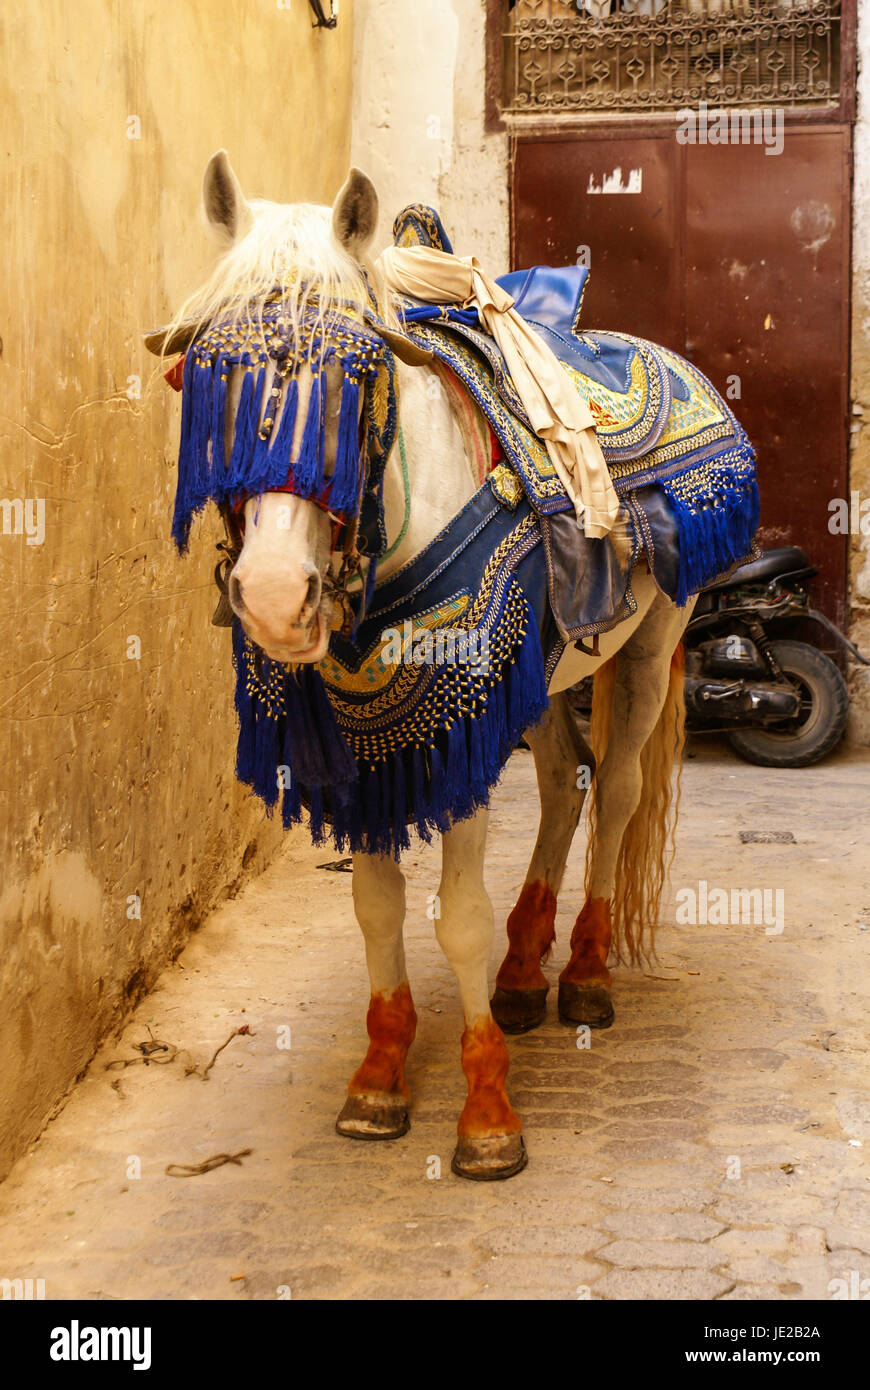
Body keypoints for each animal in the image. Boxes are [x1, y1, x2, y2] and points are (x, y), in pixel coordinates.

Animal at [152, 152, 758, 1181]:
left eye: (357, 381)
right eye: (205, 378)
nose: (273, 597)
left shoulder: (461, 718)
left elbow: (456, 917)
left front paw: (485, 1115)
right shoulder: (371, 739)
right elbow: (376, 908)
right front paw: (380, 1074)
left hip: (650, 642)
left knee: (618, 791)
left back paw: (584, 972)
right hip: (543, 675)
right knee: (561, 783)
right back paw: (520, 974)